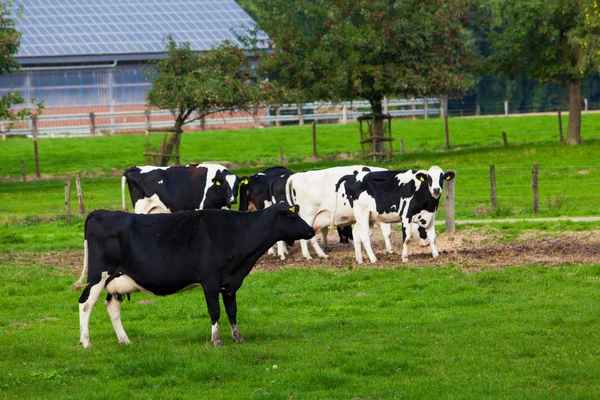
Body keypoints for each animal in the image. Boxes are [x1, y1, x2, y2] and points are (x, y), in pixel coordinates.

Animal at [72, 202, 316, 348]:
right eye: (293, 217)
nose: (312, 230)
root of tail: (100, 212)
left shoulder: (230, 282)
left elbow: (232, 311)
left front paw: (238, 338)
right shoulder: (210, 280)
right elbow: (215, 311)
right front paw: (217, 340)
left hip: (116, 280)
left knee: (112, 307)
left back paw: (125, 340)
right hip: (98, 275)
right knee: (85, 303)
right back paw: (86, 342)